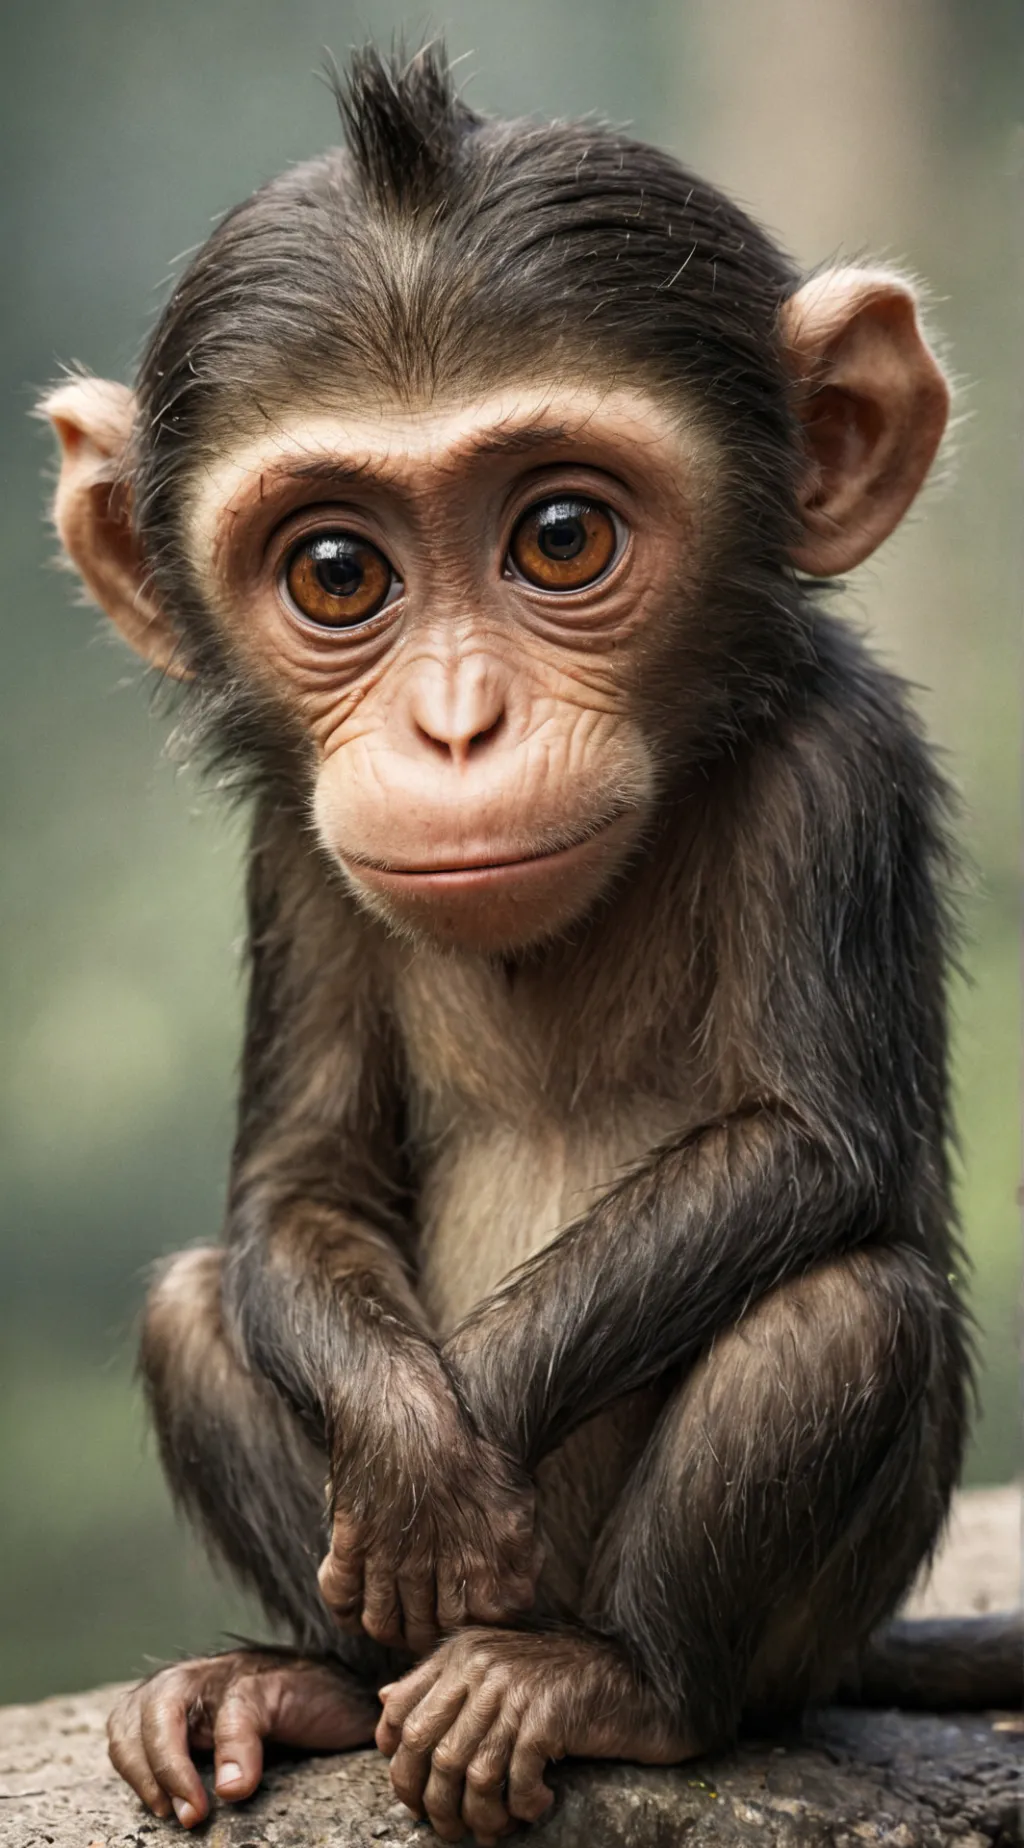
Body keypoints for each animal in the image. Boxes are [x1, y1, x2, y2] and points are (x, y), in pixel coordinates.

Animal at [42, 43, 1020, 1848]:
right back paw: (300, 1685)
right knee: (198, 1309)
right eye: (336, 570)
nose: (451, 722)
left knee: (838, 1323)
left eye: (561, 537)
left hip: (789, 1638)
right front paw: (408, 1445)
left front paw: (454, 1447)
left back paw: (602, 1686)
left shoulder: (838, 767)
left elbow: (809, 1141)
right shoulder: (293, 860)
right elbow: (298, 1178)